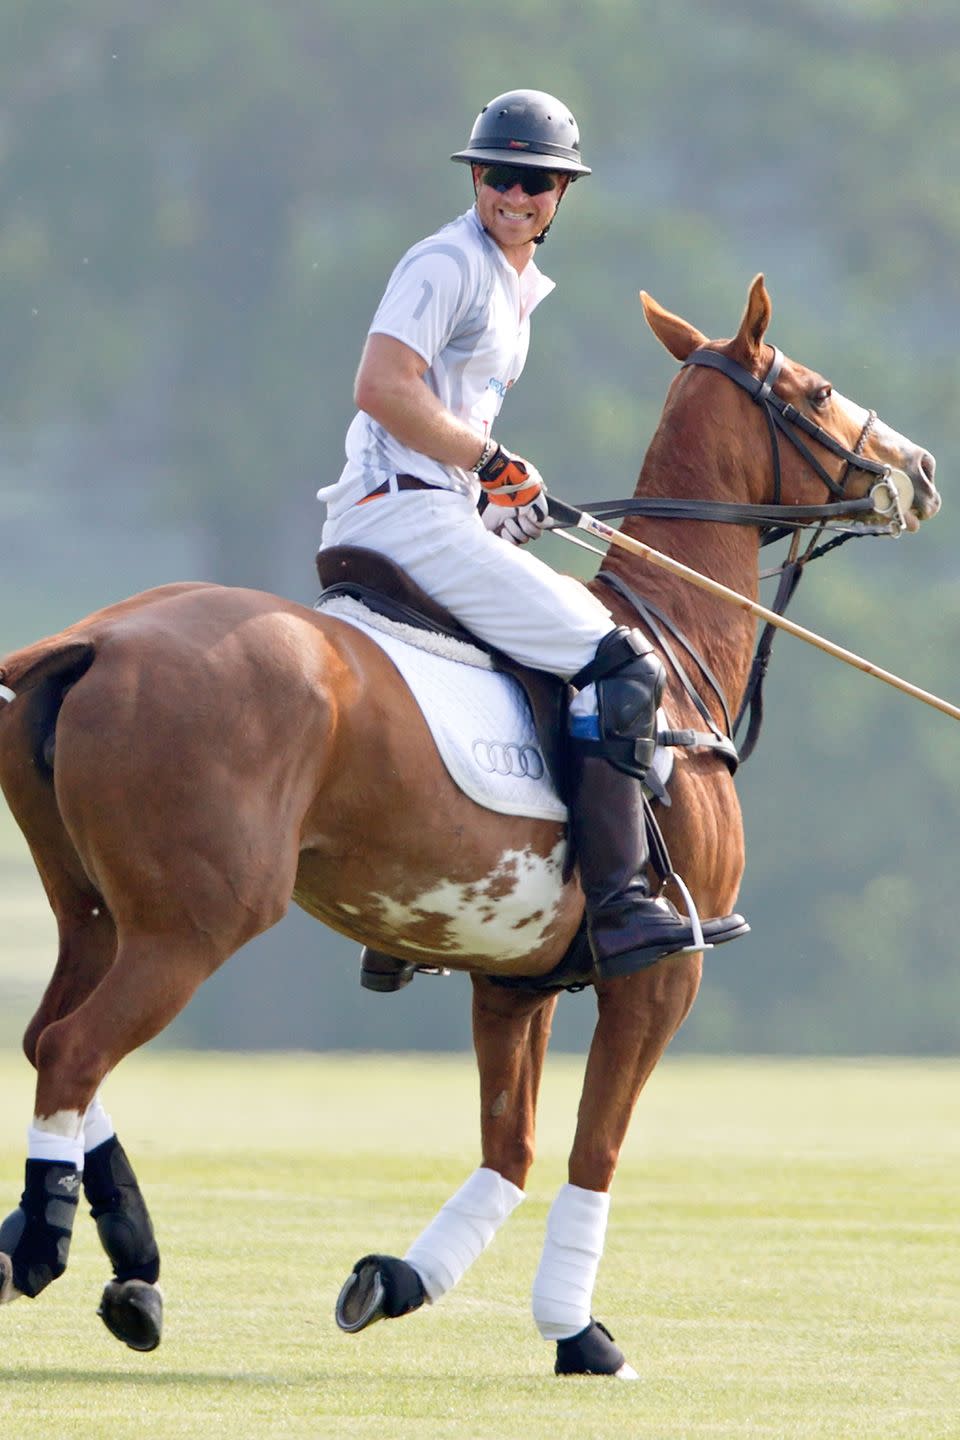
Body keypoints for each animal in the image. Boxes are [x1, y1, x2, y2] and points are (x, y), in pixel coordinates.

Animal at [0, 277, 944, 1370]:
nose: (922, 468)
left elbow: (512, 1146)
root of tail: (92, 642)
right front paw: (578, 1334)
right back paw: (58, 1252)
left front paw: (396, 1279)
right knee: (74, 1050)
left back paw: (115, 1259)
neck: (672, 638)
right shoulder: (669, 966)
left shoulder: (512, 978)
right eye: (818, 389)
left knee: (44, 1038)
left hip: (95, 912)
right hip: (195, 921)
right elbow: (595, 1145)